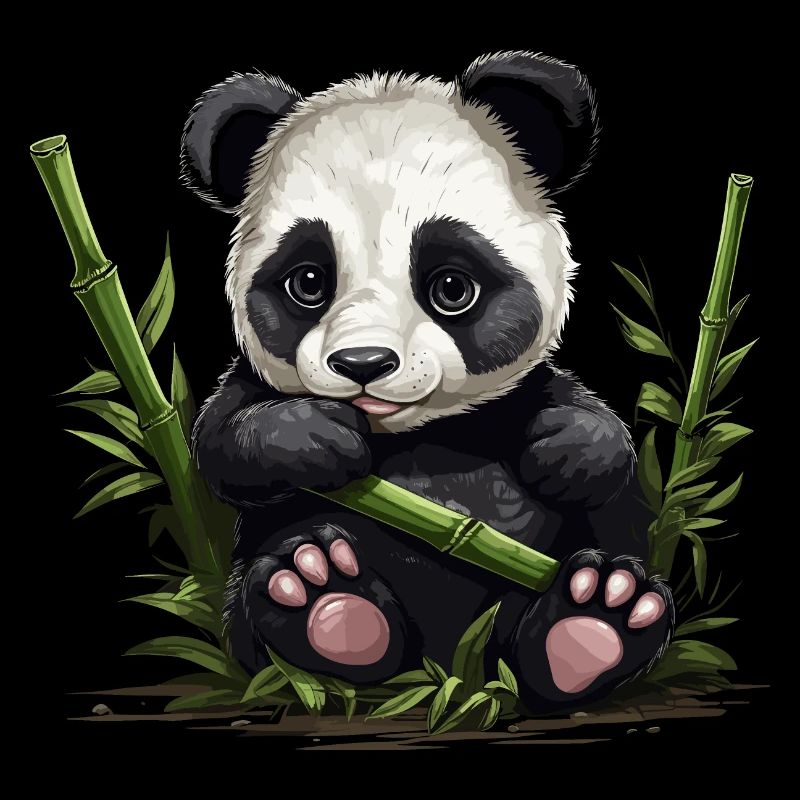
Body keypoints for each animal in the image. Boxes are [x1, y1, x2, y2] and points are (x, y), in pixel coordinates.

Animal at [181, 51, 673, 712]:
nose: (364, 364)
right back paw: (326, 604)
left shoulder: (518, 394)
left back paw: (595, 622)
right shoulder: (247, 389)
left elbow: (595, 432)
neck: (413, 434)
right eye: (307, 282)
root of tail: (442, 676)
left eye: (451, 287)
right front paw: (316, 437)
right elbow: (220, 440)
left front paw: (568, 448)